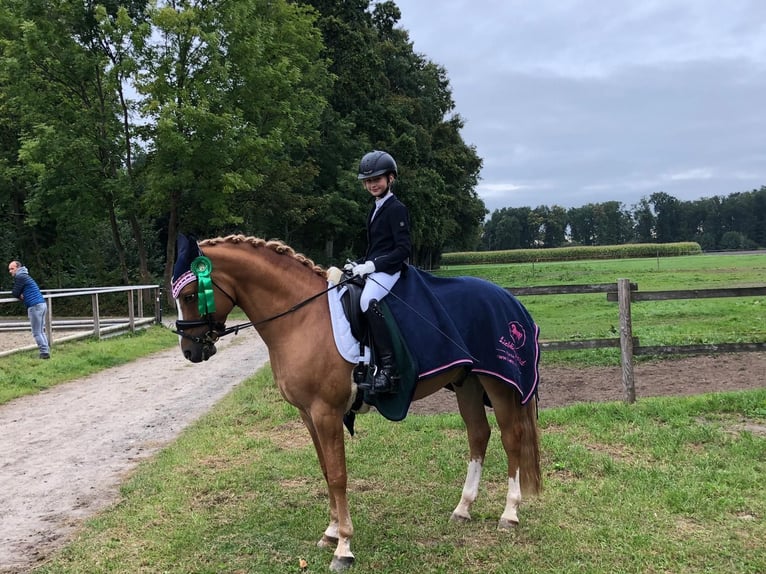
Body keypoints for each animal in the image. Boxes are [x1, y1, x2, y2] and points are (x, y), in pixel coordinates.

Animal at [175, 236, 544, 572]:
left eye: (191, 295)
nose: (191, 351)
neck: (302, 318)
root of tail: (509, 299)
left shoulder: (326, 412)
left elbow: (338, 475)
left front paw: (344, 547)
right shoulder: (307, 414)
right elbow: (326, 470)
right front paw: (330, 532)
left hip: (498, 383)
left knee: (511, 438)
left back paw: (509, 514)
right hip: (468, 382)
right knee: (478, 435)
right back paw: (463, 508)